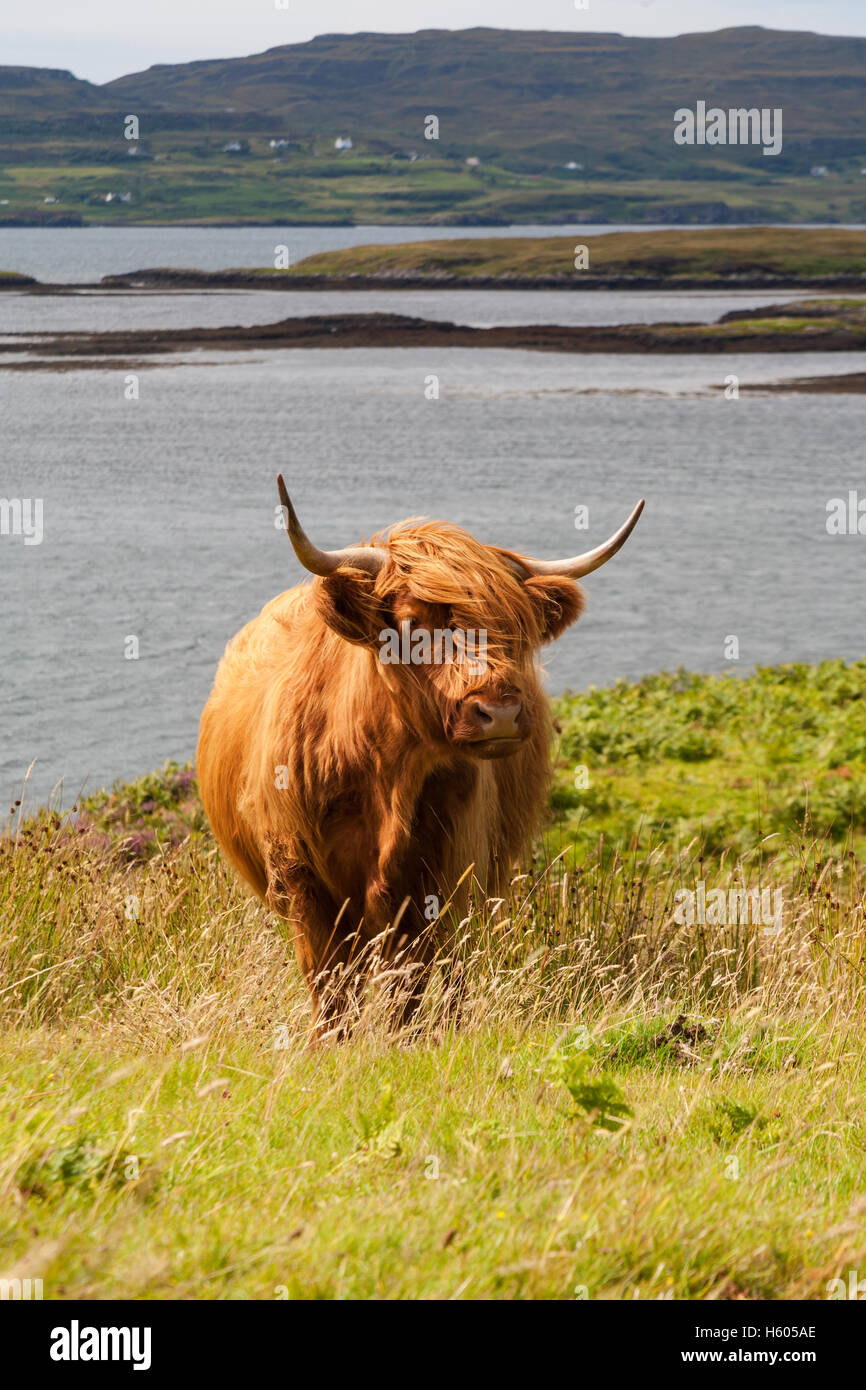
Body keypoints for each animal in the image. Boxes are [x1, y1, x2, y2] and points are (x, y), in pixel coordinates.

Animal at [197, 477, 643, 1036]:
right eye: (411, 625)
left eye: (515, 625)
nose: (499, 712)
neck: (387, 778)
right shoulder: (302, 881)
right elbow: (329, 985)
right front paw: (331, 1044)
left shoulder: (443, 877)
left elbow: (411, 983)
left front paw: (404, 1042)